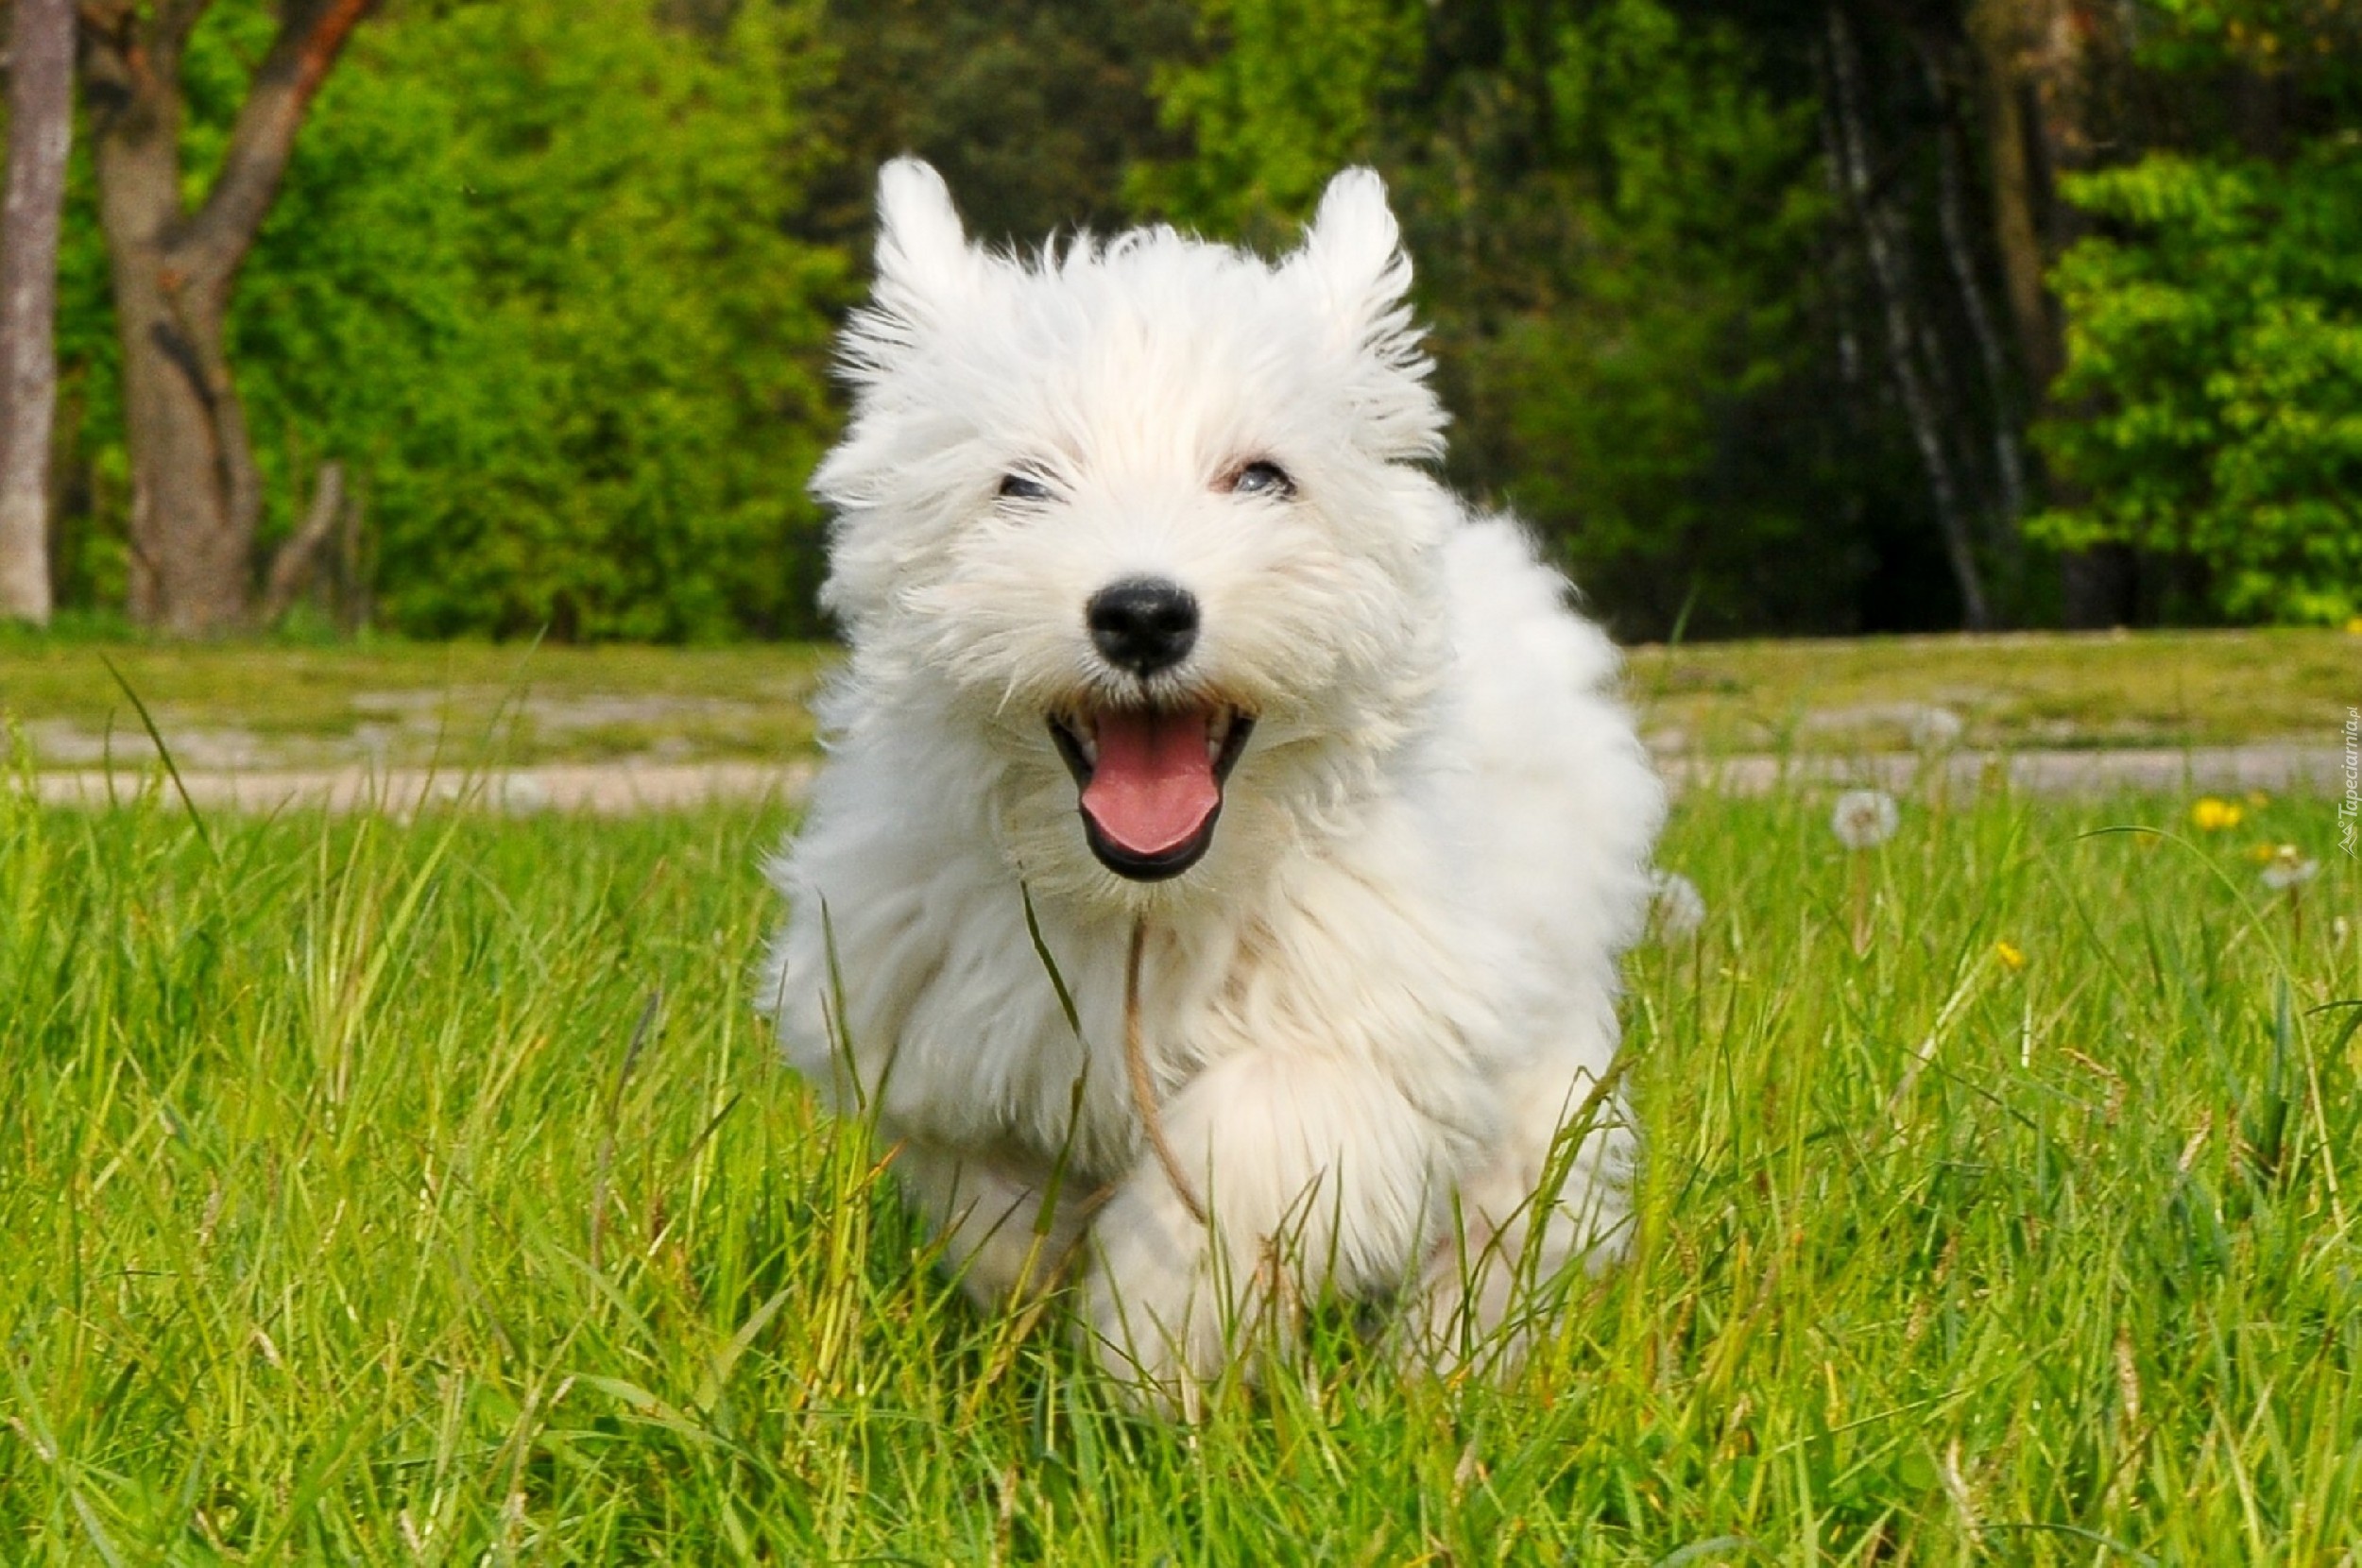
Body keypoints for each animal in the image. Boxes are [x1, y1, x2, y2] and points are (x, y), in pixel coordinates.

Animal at [765, 159, 1672, 1407]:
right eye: (1021, 485)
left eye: (1260, 476)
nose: (1144, 613)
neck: (1144, 911)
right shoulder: (905, 1002)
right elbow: (977, 1174)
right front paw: (1039, 1275)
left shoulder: (1375, 1019)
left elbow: (1243, 1144)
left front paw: (1153, 1338)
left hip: (1544, 1050)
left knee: (1514, 1213)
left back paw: (1443, 1366)